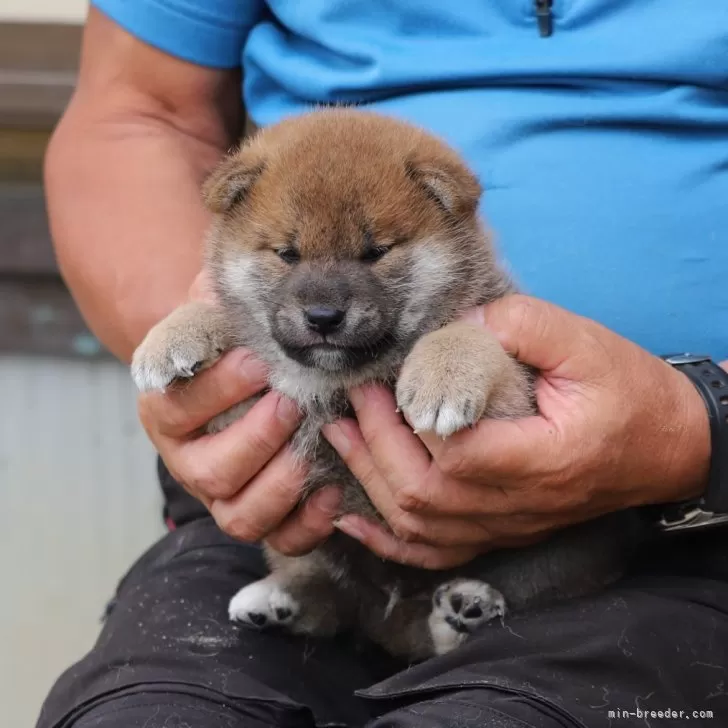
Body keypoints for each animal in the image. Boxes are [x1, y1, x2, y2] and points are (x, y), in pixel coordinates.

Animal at [131, 108, 644, 660]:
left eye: (375, 251)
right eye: (287, 253)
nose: (323, 317)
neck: (338, 377)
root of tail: (385, 622)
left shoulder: (518, 396)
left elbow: (467, 333)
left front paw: (443, 376)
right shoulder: (249, 403)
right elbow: (233, 324)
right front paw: (173, 334)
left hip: (547, 557)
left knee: (457, 622)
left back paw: (465, 607)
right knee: (328, 601)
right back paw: (274, 600)